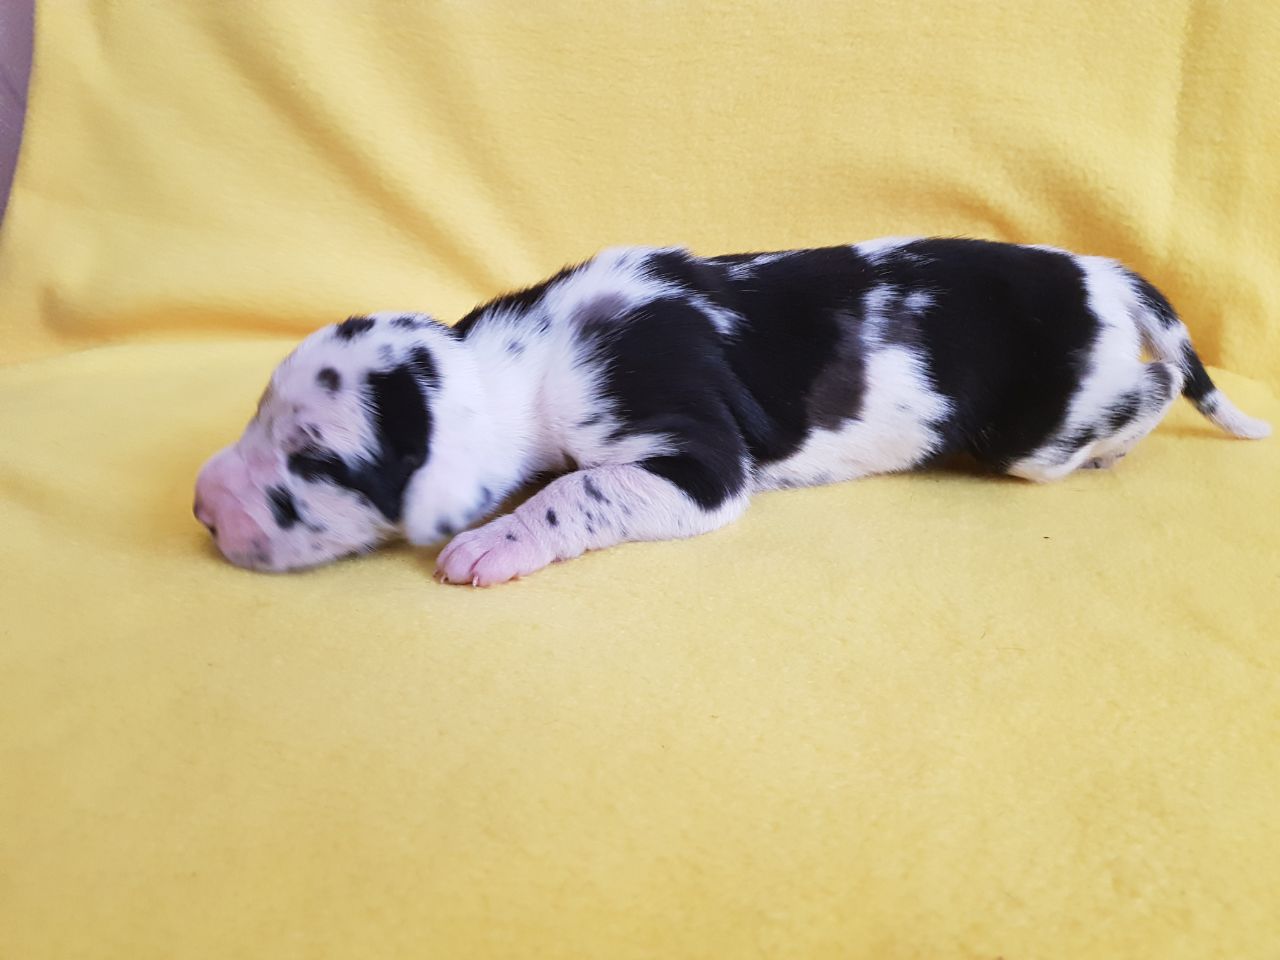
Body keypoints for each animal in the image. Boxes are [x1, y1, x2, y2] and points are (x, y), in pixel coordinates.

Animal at [194, 238, 1270, 585]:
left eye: (317, 463)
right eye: (257, 419)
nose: (202, 509)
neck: (530, 359)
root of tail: (1100, 272)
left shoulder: (698, 465)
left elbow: (574, 490)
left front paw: (493, 542)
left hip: (1042, 429)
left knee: (1154, 389)